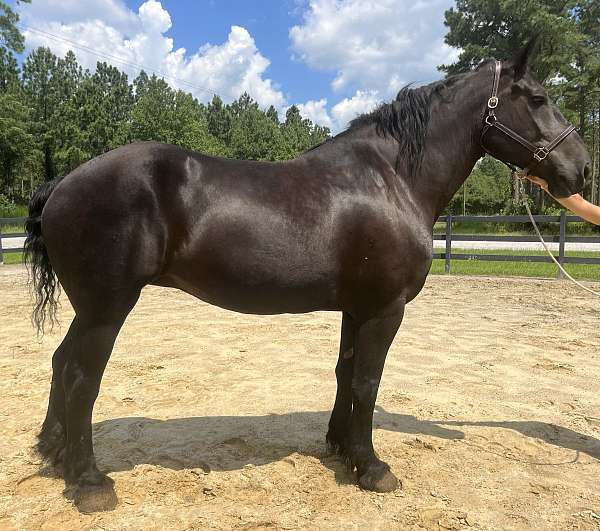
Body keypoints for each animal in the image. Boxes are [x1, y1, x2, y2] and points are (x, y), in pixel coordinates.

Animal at [24, 41, 592, 494]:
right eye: (537, 98)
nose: (582, 170)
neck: (392, 180)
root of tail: (63, 183)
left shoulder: (357, 309)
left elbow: (345, 374)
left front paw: (341, 449)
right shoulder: (385, 310)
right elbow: (367, 383)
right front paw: (373, 468)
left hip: (90, 309)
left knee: (59, 362)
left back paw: (54, 452)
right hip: (108, 307)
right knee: (81, 377)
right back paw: (89, 482)